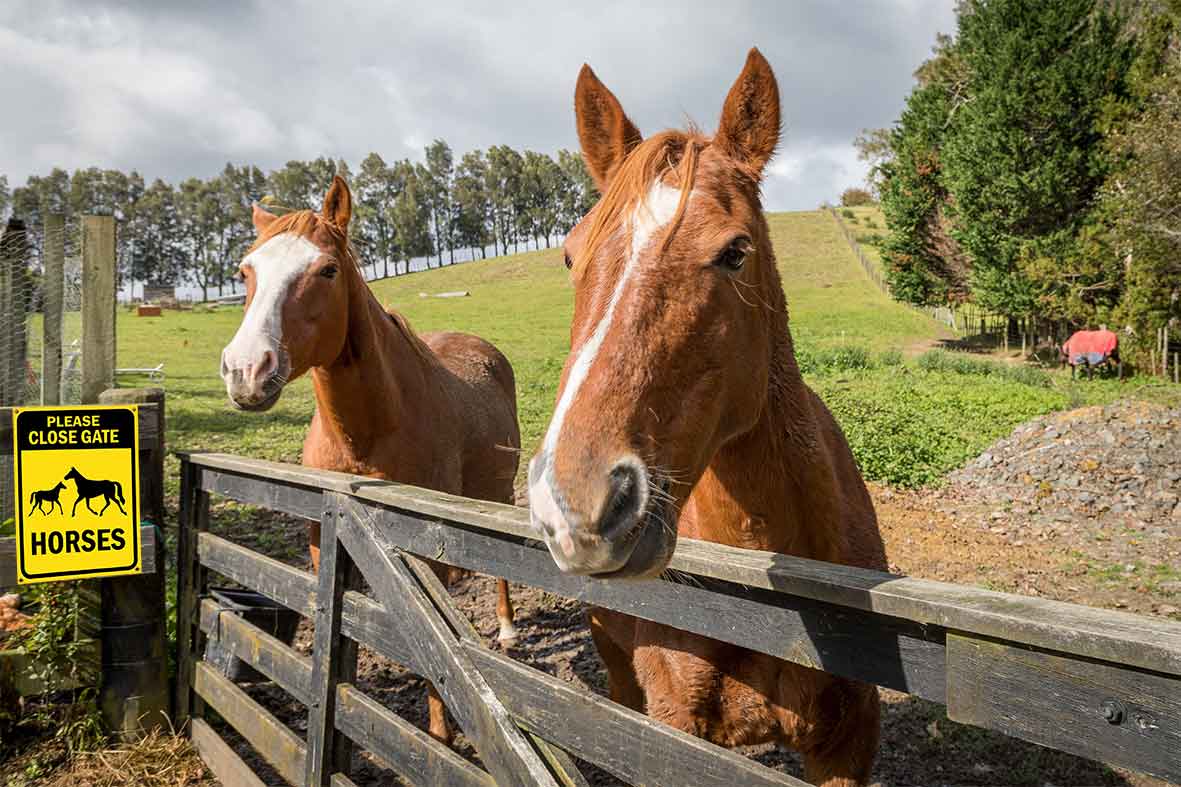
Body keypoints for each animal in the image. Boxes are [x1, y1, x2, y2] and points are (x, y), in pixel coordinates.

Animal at [218, 176, 522, 742]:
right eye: (245, 271)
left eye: (327, 270)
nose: (246, 370)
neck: (367, 433)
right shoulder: (329, 540)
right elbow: (346, 631)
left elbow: (433, 653)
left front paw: (439, 739)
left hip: (498, 493)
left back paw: (509, 626)